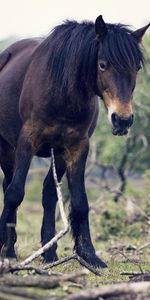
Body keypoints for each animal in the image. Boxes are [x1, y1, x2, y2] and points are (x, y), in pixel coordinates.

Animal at [0, 15, 149, 268]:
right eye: (102, 64)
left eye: (136, 67)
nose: (122, 120)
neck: (62, 93)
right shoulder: (26, 142)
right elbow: (15, 192)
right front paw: (5, 250)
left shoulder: (76, 147)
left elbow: (79, 202)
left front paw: (89, 255)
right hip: (7, 149)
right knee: (9, 186)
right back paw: (9, 248)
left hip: (57, 154)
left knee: (49, 194)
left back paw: (49, 253)